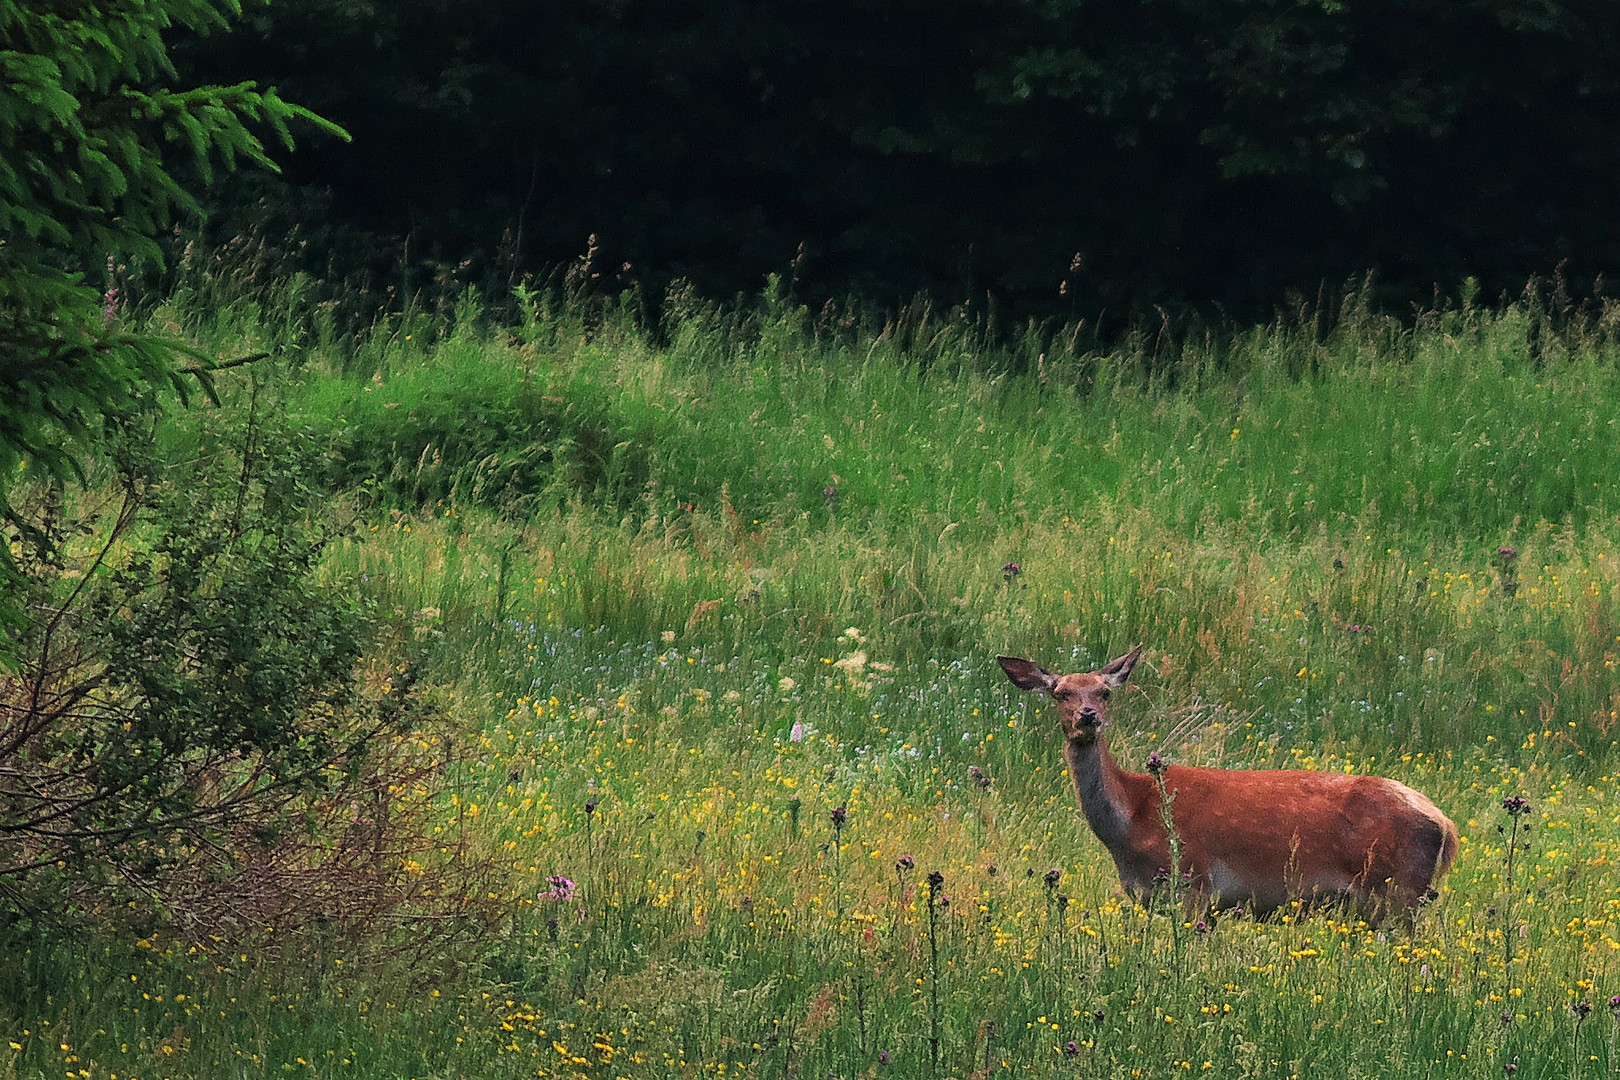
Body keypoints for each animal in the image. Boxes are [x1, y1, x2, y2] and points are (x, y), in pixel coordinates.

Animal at [991, 647, 1464, 926]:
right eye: (1061, 693)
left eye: (1104, 692)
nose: (1087, 717)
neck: (1132, 823)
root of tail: (1445, 825)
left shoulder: (1195, 885)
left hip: (1398, 891)